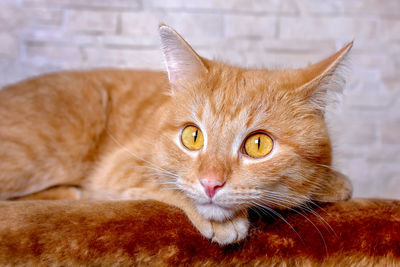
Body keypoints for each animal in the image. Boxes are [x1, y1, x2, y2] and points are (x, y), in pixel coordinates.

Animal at [0, 24, 352, 245]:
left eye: (258, 144)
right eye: (192, 137)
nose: (210, 184)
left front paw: (328, 183)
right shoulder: (117, 167)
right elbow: (163, 182)